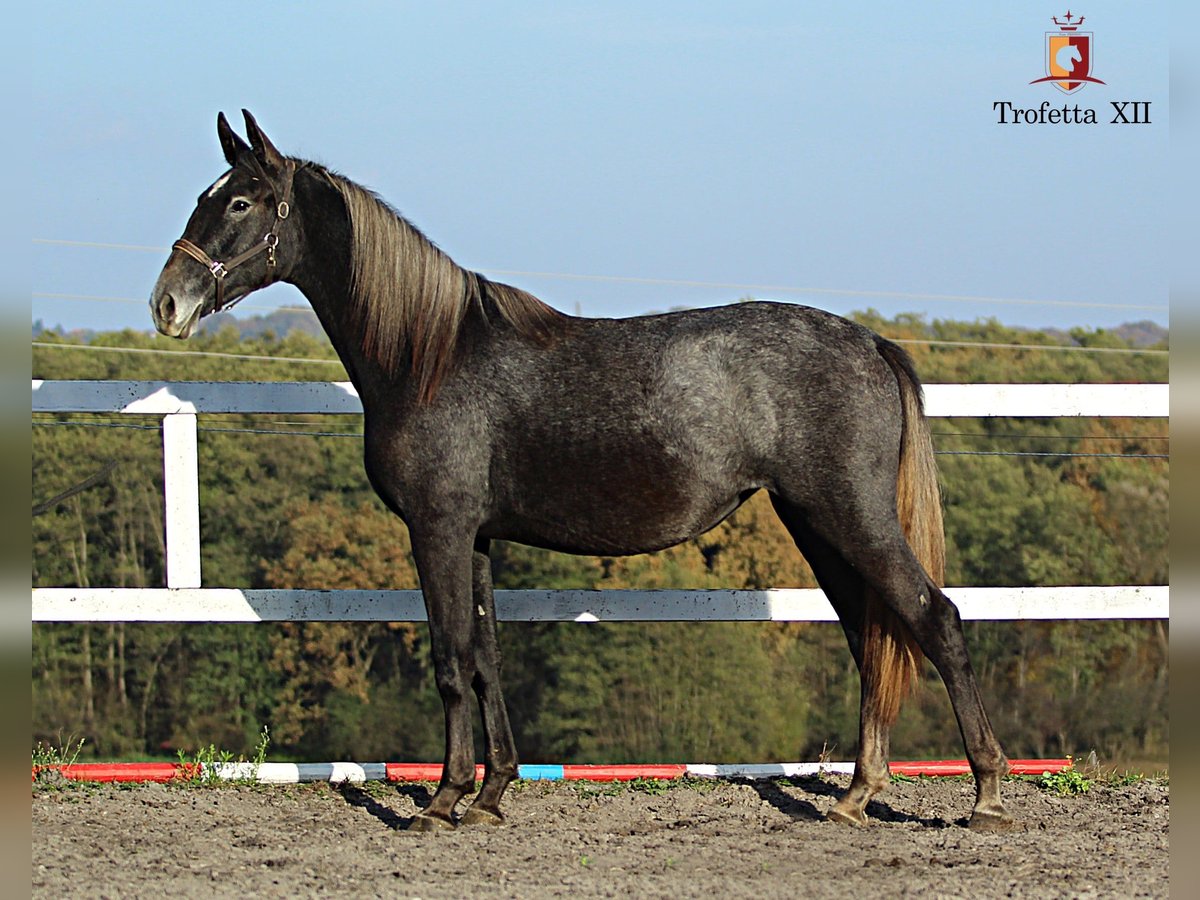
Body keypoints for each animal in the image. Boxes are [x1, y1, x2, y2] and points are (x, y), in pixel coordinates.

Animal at [150, 111, 1012, 830]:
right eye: (205, 196)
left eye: (240, 203)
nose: (167, 303)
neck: (431, 356)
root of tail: (870, 342)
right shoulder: (475, 538)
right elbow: (487, 659)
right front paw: (491, 795)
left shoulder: (438, 529)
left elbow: (449, 660)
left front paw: (442, 801)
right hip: (817, 524)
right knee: (871, 638)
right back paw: (858, 796)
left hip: (850, 515)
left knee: (935, 620)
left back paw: (987, 795)